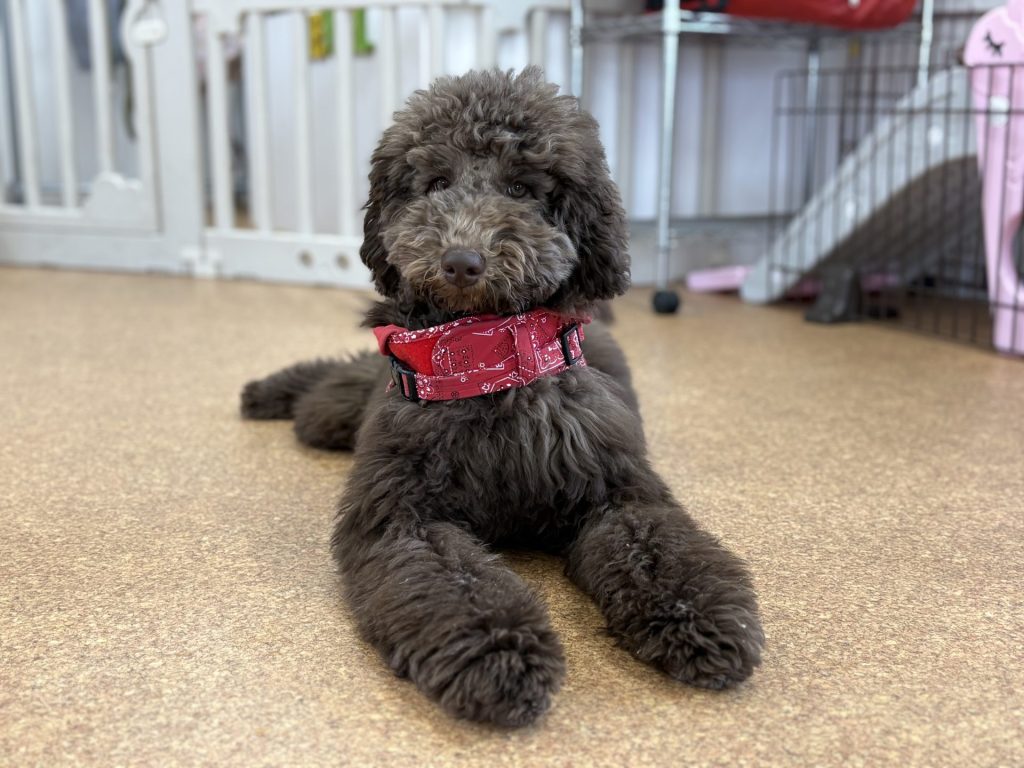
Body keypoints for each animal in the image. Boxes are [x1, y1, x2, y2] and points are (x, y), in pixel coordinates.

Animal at [240, 68, 763, 727]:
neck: (487, 360)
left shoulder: (619, 494)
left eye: (521, 187)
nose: (462, 261)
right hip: (355, 404)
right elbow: (458, 586)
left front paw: (700, 618)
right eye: (437, 182)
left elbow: (662, 551)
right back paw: (266, 391)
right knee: (332, 385)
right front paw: (500, 654)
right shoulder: (404, 517)